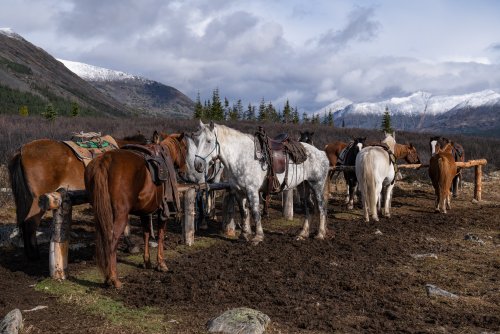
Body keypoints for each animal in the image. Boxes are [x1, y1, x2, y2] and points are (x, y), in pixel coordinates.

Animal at [84, 132, 182, 288]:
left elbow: (146, 234)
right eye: (184, 148)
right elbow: (160, 235)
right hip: (121, 215)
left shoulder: (145, 213)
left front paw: (147, 261)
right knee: (112, 240)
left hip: (100, 212)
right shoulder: (163, 212)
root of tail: (105, 160)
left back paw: (108, 277)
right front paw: (161, 264)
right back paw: (114, 279)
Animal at [189, 121, 330, 244]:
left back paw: (320, 234)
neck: (240, 156)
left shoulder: (252, 190)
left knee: (321, 207)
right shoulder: (239, 191)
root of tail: (321, 153)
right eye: (196, 140)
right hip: (303, 186)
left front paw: (258, 237)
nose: (198, 165)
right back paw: (303, 234)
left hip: (317, 185)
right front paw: (244, 235)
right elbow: (244, 212)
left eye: (209, 141)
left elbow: (255, 212)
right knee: (309, 207)